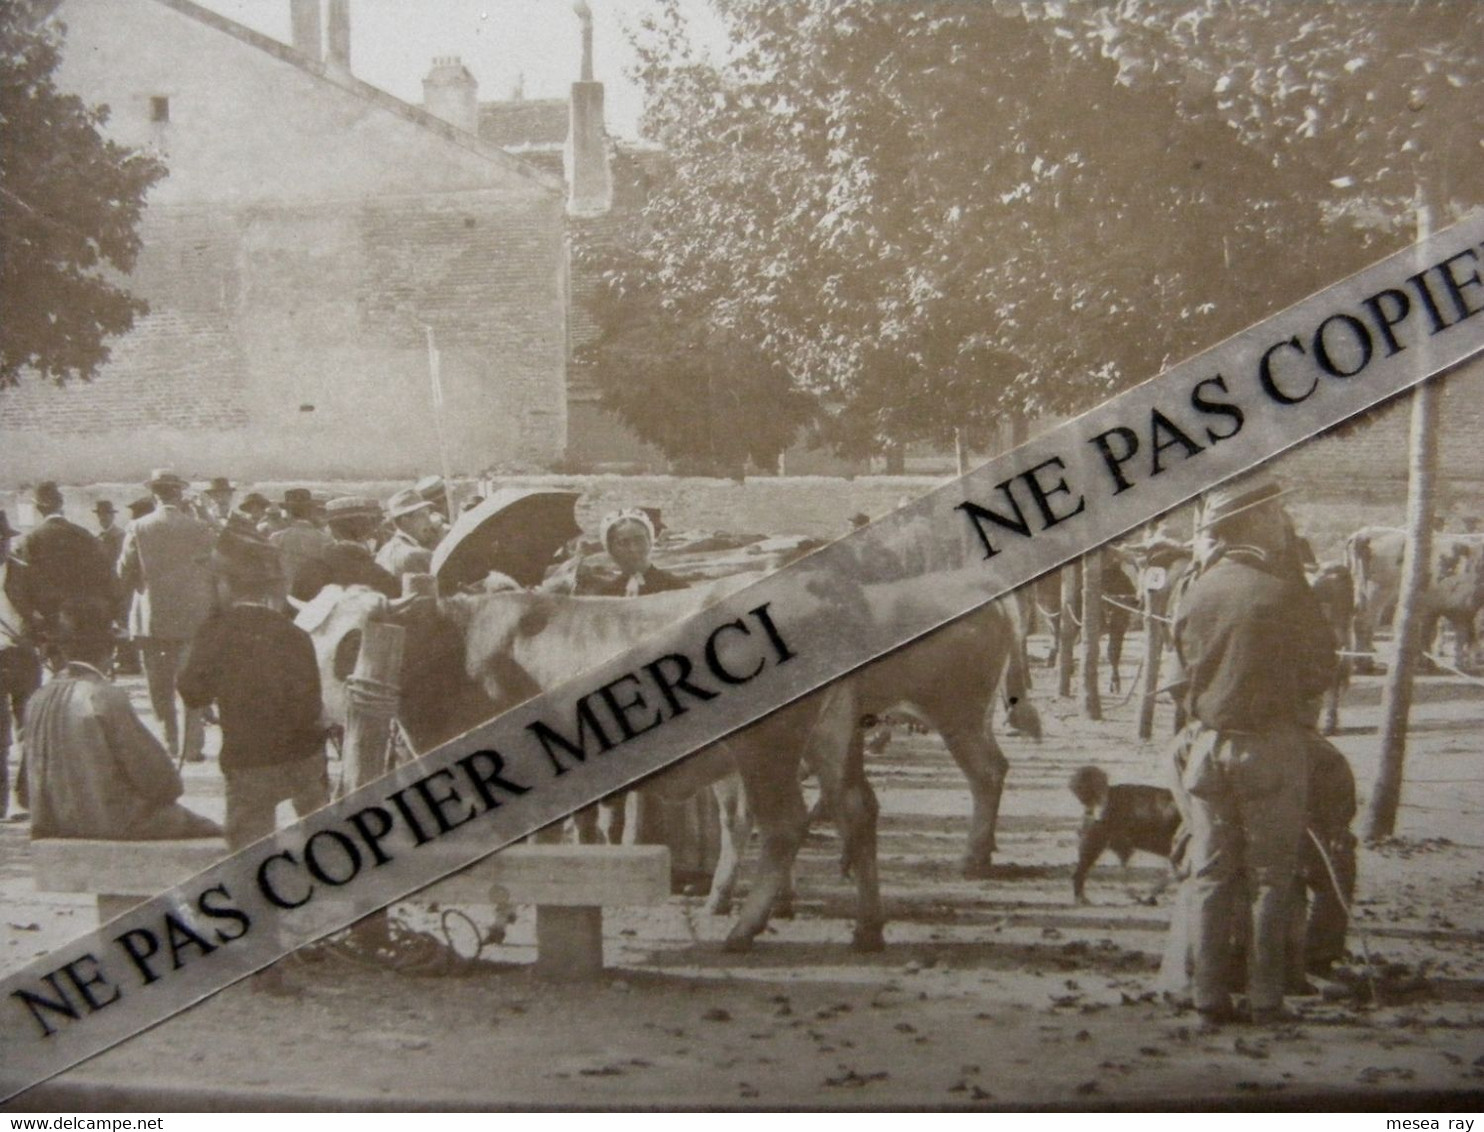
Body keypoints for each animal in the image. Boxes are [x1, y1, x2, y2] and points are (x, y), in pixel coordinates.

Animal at [1347, 525, 1484, 667]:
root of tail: (1363, 534)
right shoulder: (1462, 606)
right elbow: (1465, 633)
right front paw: (1460, 663)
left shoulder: (1435, 607)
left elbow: (1428, 633)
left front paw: (1427, 661)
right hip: (1376, 592)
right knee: (1364, 622)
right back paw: (1364, 661)